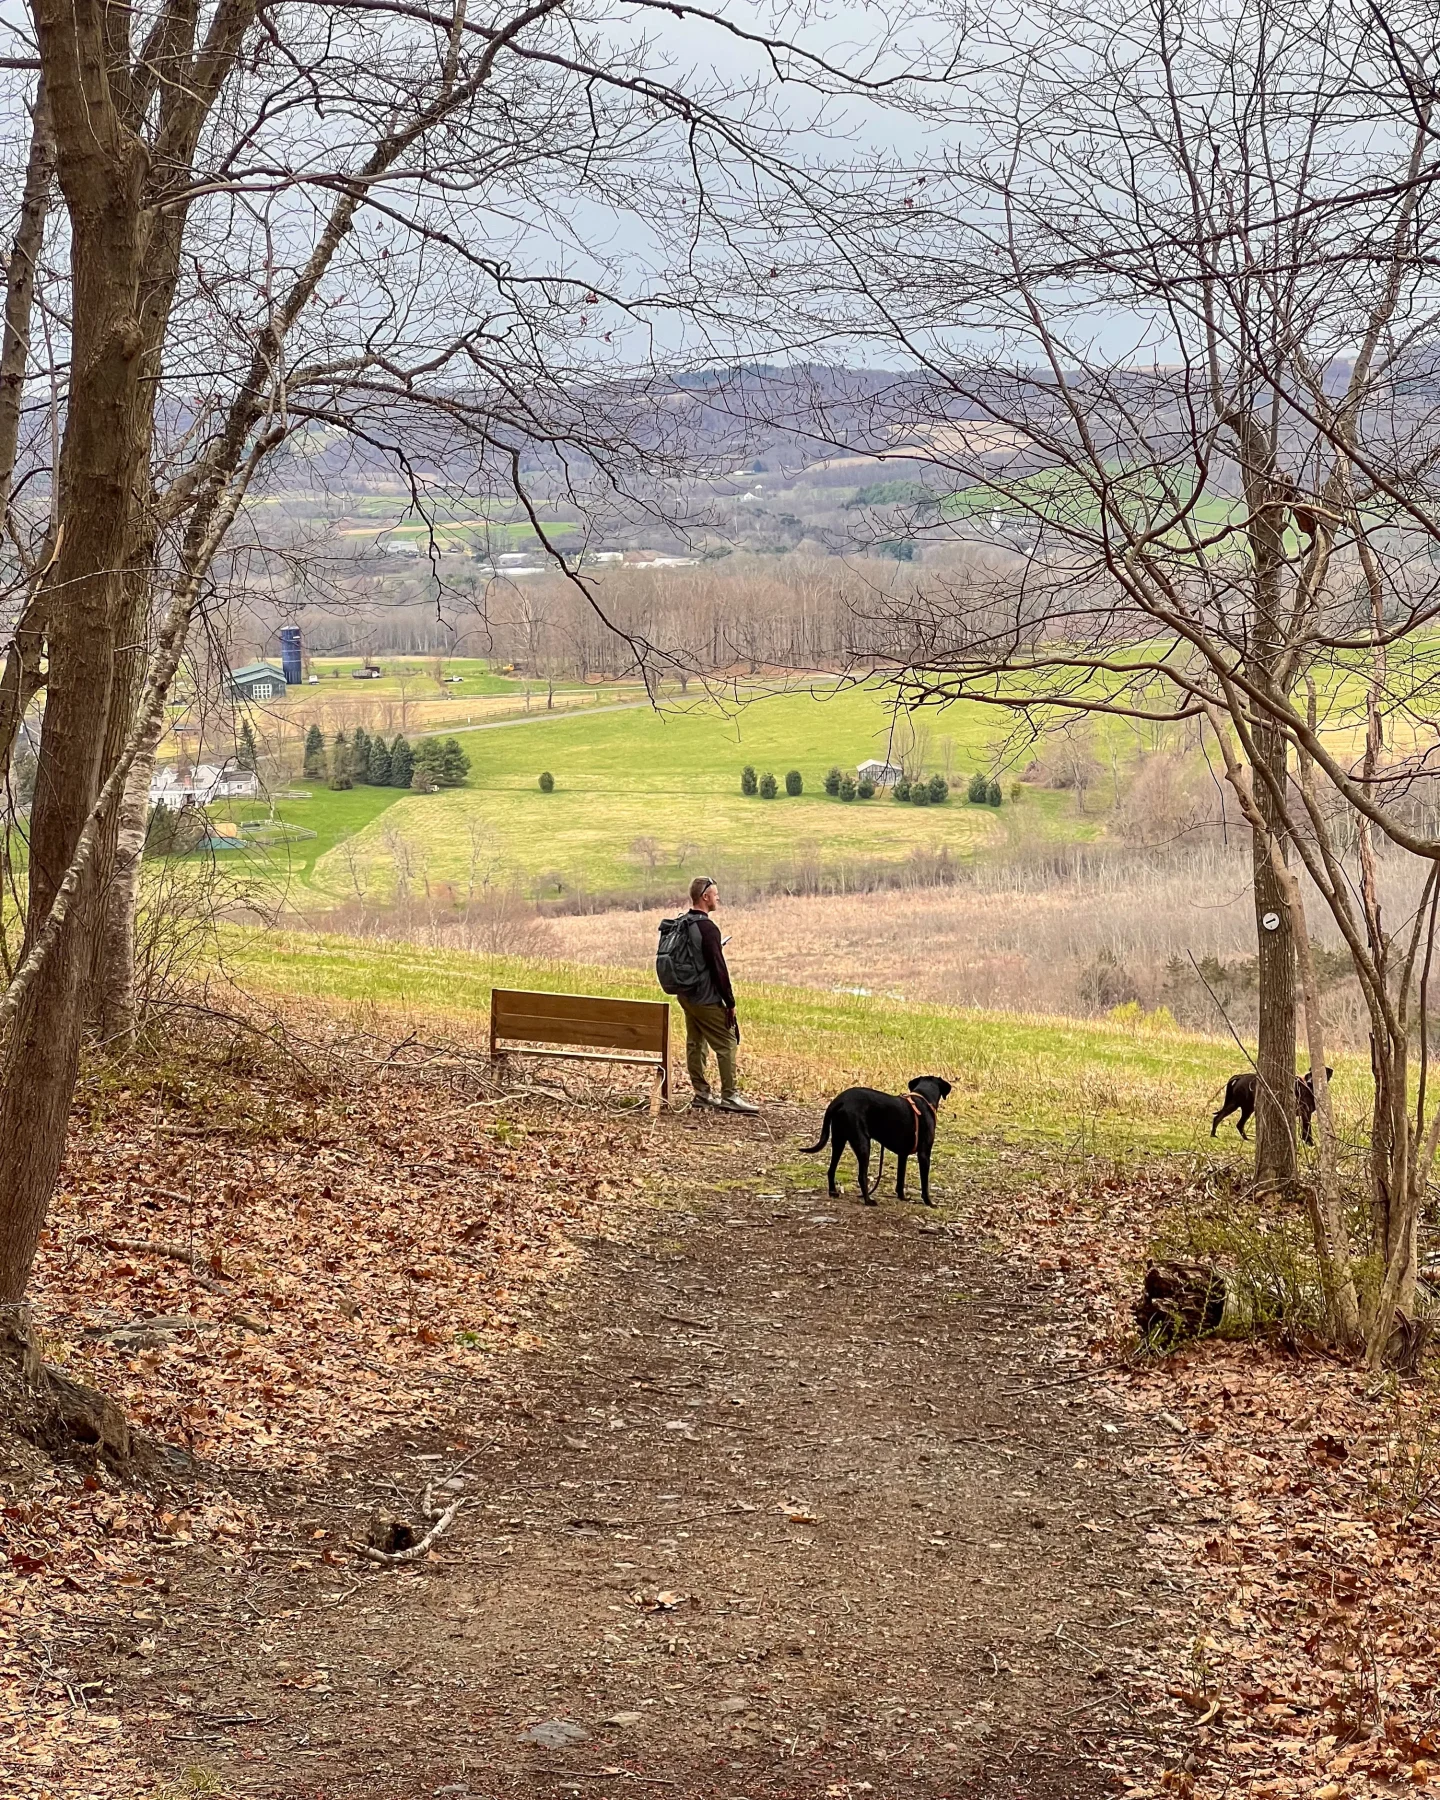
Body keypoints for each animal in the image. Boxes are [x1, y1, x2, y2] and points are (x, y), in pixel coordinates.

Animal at [802, 1072, 950, 1202]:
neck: (924, 1098)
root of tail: (840, 1100)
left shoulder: (902, 1155)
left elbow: (900, 1179)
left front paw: (902, 1197)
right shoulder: (924, 1153)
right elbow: (924, 1184)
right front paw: (929, 1202)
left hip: (839, 1140)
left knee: (831, 1169)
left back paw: (833, 1192)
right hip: (862, 1143)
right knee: (861, 1176)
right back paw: (868, 1200)